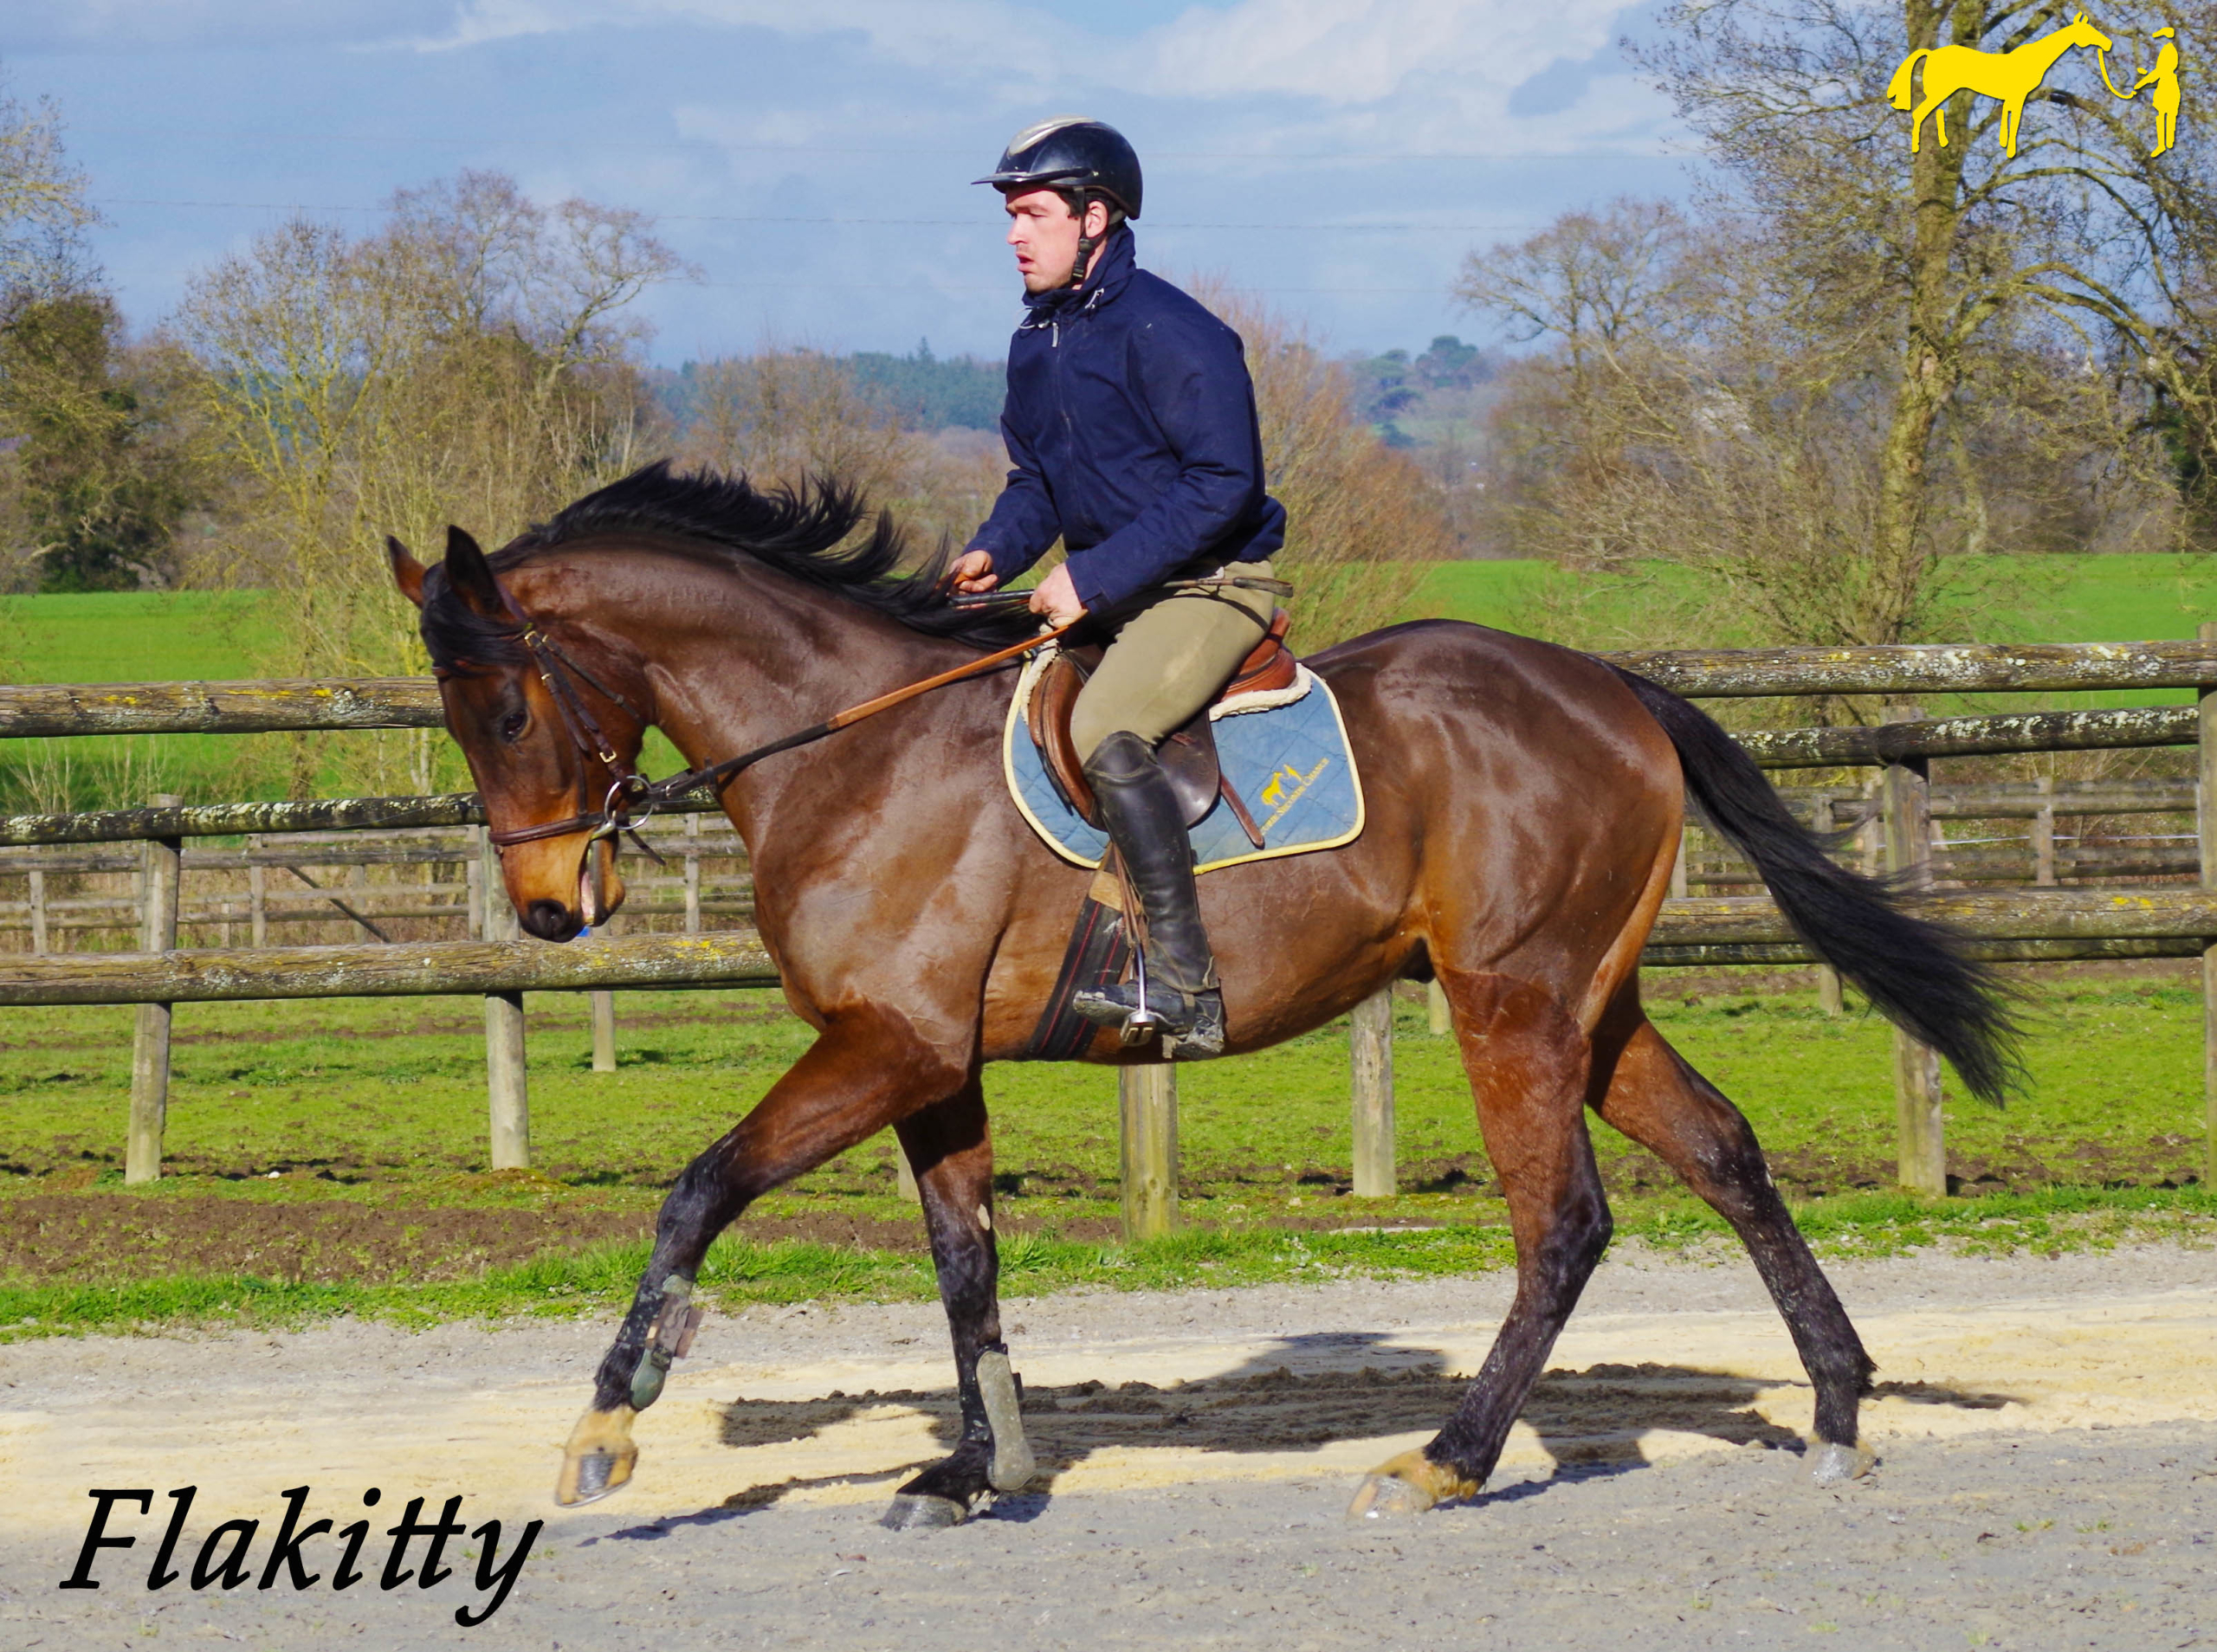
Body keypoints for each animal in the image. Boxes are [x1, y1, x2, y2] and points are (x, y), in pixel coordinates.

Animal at [390, 461, 2021, 1516]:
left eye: (508, 706)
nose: (551, 911)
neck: (845, 746)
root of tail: (1611, 686)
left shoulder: (882, 1044)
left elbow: (701, 1188)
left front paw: (611, 1420)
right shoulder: (933, 1065)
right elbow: (964, 1259)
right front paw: (979, 1470)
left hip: (1510, 1001)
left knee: (1563, 1221)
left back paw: (1447, 1460)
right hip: (1591, 1005)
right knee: (1729, 1156)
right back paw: (1834, 1409)